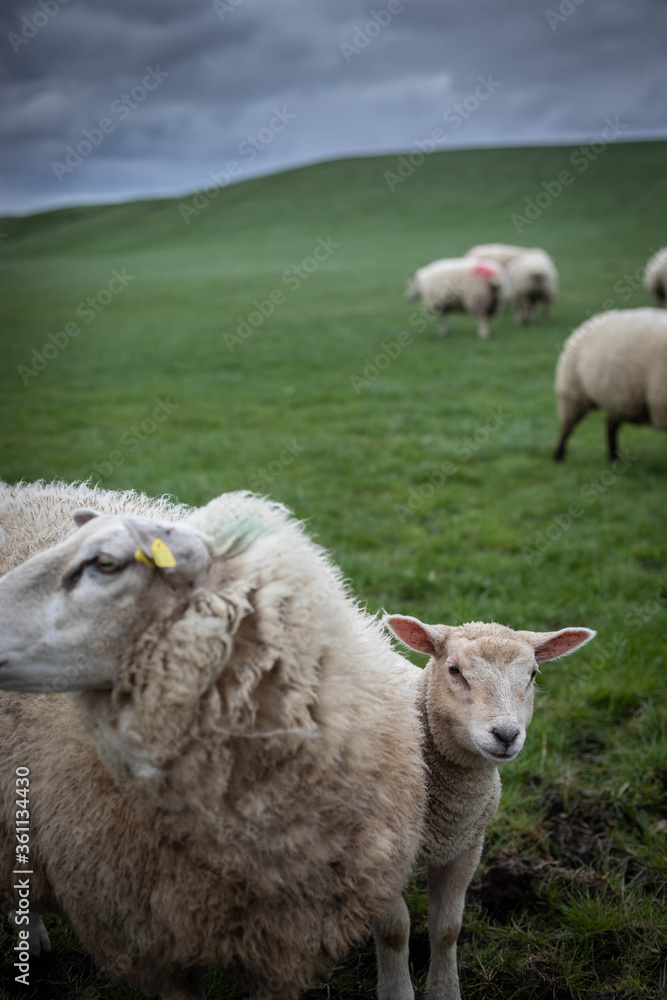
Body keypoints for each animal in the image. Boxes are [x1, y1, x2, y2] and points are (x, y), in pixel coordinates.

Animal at [373, 614, 595, 1000]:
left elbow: (447, 928)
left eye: (533, 673)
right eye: (454, 669)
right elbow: (394, 931)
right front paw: (396, 991)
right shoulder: (381, 853)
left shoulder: (467, 847)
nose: (506, 735)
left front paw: (445, 991)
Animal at [553, 307, 667, 461]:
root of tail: (594, 319)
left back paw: (613, 457)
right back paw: (558, 455)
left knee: (610, 424)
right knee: (568, 425)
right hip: (574, 391)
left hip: (620, 397)